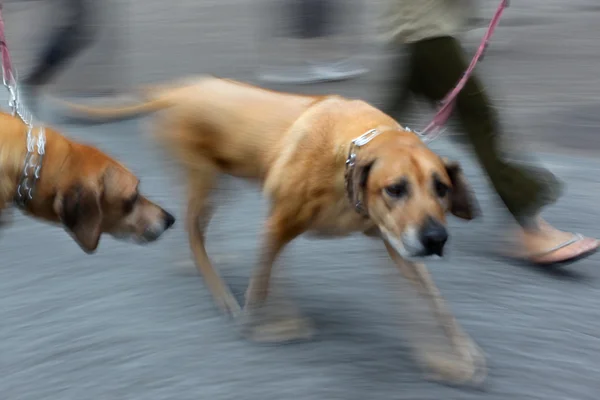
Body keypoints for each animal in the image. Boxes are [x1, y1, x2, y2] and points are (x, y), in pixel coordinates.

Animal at [57, 75, 488, 384]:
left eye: (441, 188)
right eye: (395, 189)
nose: (436, 240)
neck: (349, 153)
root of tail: (181, 89)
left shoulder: (393, 244)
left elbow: (432, 302)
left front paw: (451, 357)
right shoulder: (279, 223)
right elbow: (264, 283)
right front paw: (263, 325)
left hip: (222, 184)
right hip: (204, 181)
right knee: (194, 235)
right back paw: (221, 294)